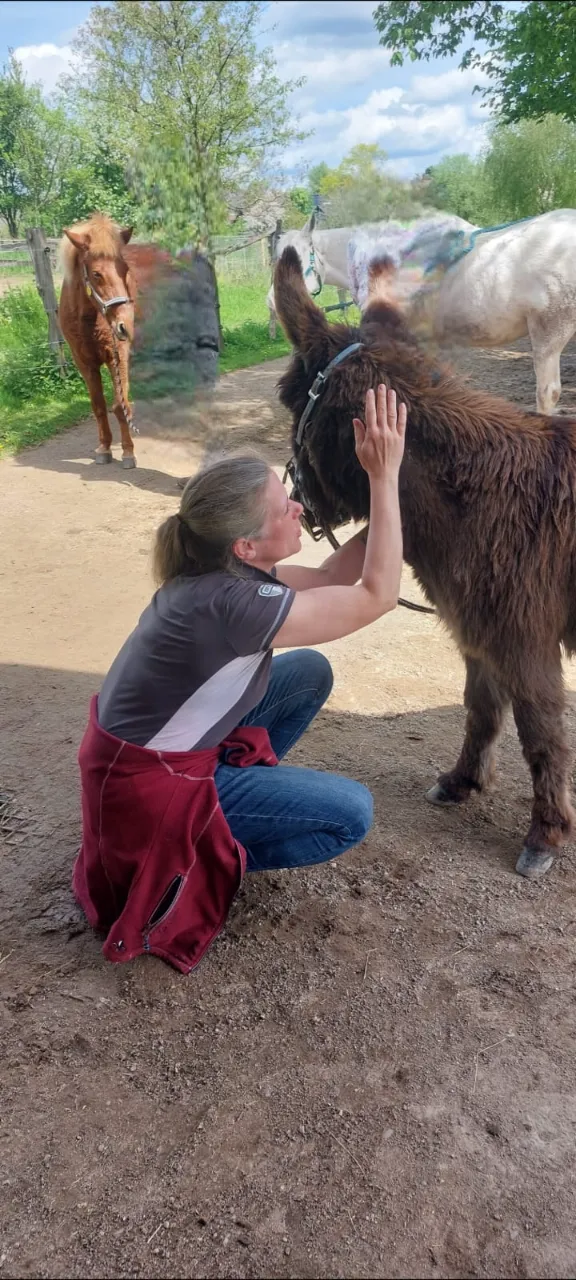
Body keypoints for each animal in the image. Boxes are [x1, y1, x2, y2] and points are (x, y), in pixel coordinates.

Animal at [59, 214, 138, 467]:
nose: (125, 325)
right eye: (96, 274)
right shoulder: (84, 363)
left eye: (125, 270)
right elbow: (99, 405)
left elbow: (119, 406)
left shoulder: (116, 356)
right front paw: (104, 448)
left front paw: (128, 452)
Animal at [274, 242, 576, 881]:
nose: (298, 507)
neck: (479, 494)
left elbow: (541, 733)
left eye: (291, 404)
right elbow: (481, 709)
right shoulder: (480, 631)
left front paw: (546, 835)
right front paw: (463, 783)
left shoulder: (523, 637)